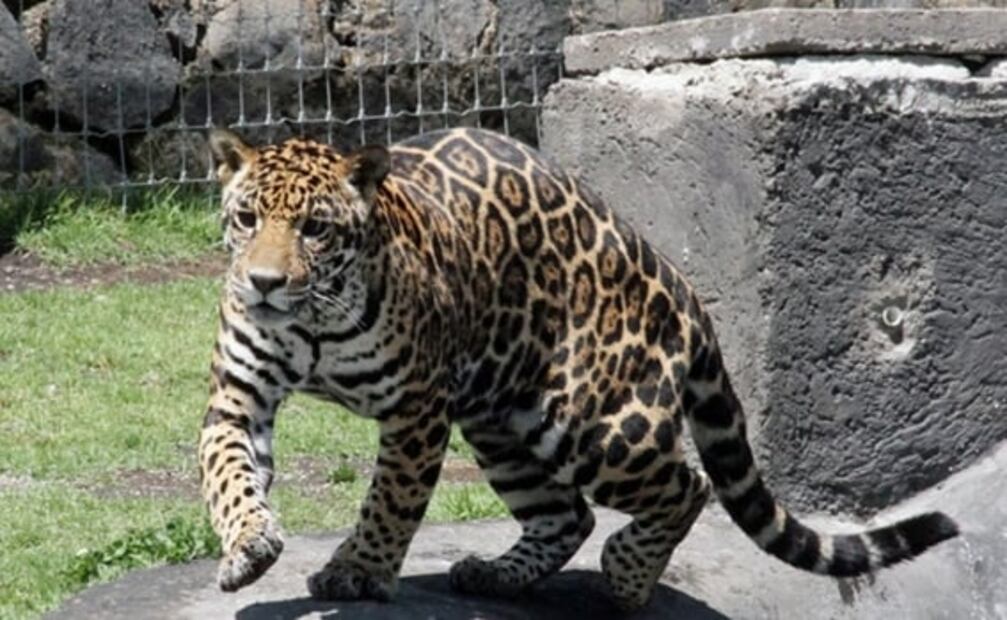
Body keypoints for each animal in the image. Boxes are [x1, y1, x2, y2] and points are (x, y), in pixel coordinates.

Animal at [197, 126, 958, 610]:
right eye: (246, 217)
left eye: (315, 229)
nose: (263, 283)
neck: (312, 319)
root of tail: (677, 279)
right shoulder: (239, 395)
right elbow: (228, 472)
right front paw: (248, 545)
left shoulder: (416, 409)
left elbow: (392, 500)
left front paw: (358, 572)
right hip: (501, 421)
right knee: (566, 516)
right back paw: (496, 576)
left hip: (592, 423)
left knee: (684, 486)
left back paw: (627, 580)